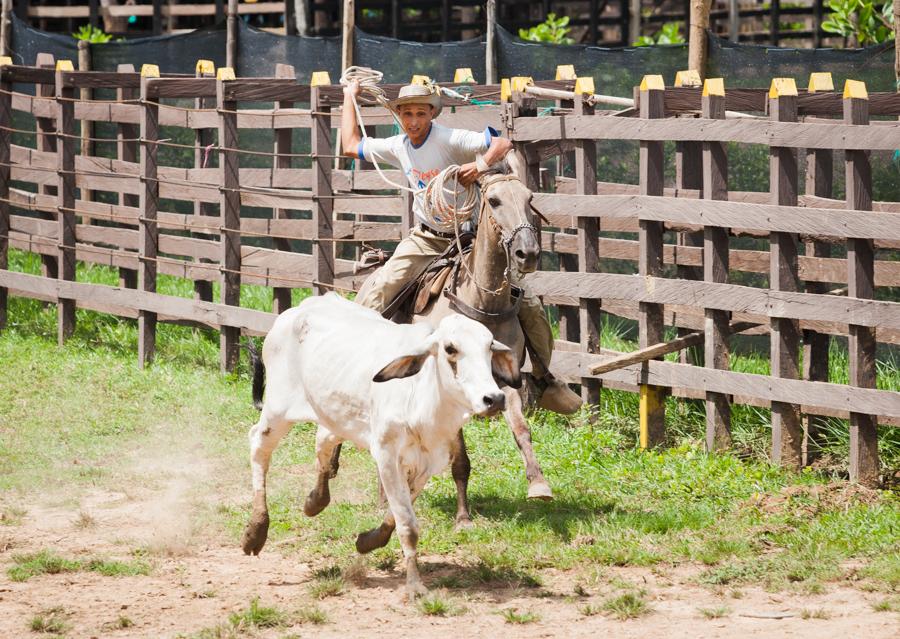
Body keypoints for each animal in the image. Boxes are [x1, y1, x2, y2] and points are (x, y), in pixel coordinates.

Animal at [243, 292, 520, 596]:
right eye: (450, 348)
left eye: (490, 346)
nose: (494, 398)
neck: (422, 397)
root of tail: (300, 308)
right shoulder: (387, 456)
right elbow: (408, 525)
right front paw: (415, 586)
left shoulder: (427, 465)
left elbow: (395, 516)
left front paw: (368, 540)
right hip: (278, 410)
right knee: (259, 445)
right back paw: (256, 530)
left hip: (334, 416)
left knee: (323, 448)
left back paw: (315, 501)